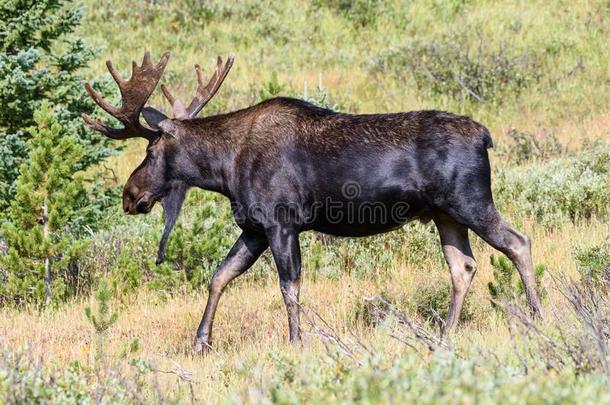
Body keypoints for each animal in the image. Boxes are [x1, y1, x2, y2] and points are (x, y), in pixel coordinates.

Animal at [82, 50, 540, 352]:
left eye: (150, 151)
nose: (130, 195)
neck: (224, 170)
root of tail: (486, 136)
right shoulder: (254, 228)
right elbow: (219, 276)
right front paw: (201, 342)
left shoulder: (281, 222)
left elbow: (289, 287)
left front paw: (296, 342)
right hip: (445, 215)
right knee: (464, 266)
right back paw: (444, 334)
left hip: (470, 200)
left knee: (518, 242)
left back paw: (537, 315)